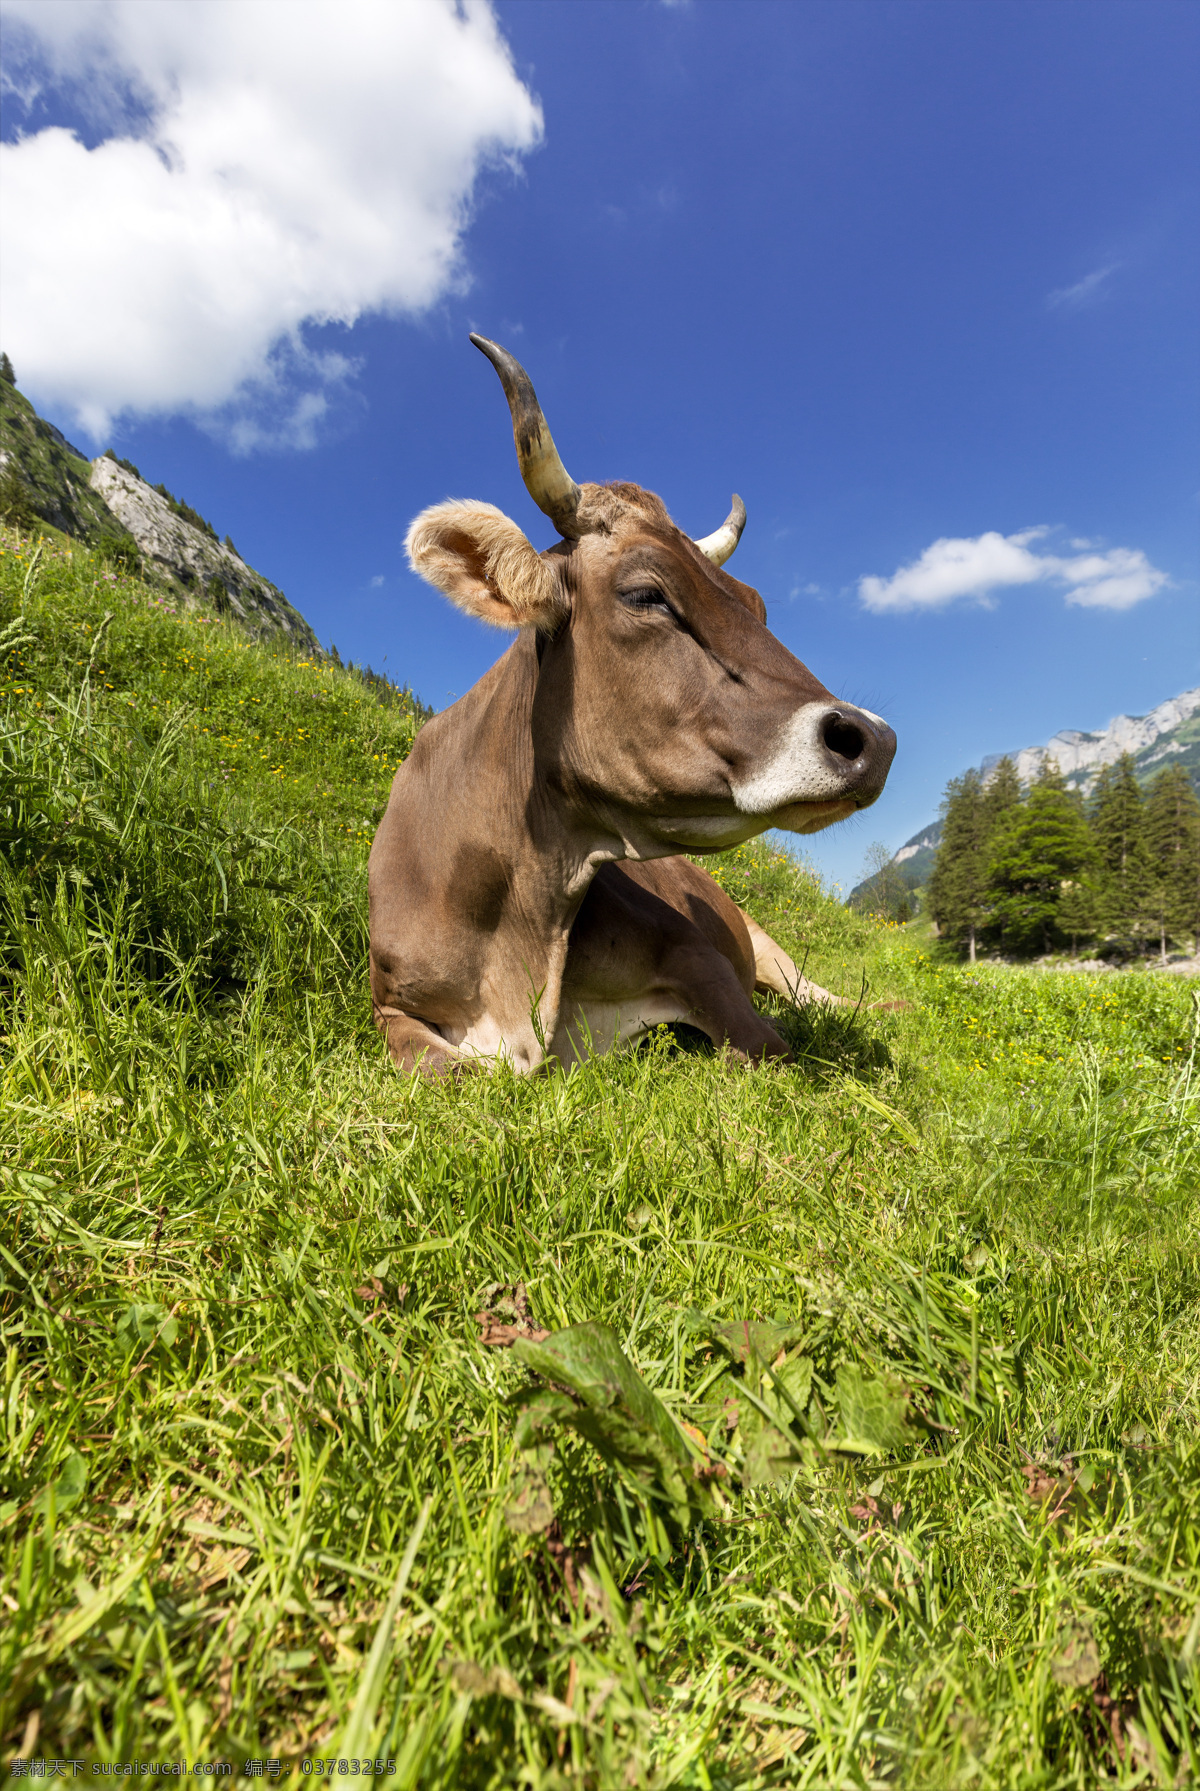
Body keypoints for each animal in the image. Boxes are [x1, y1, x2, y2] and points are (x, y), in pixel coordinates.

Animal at [370, 336, 899, 1067]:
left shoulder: (697, 950)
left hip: (767, 945)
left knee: (819, 996)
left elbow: (767, 1046)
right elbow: (441, 1071)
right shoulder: (388, 1004)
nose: (872, 739)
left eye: (758, 606)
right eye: (647, 594)